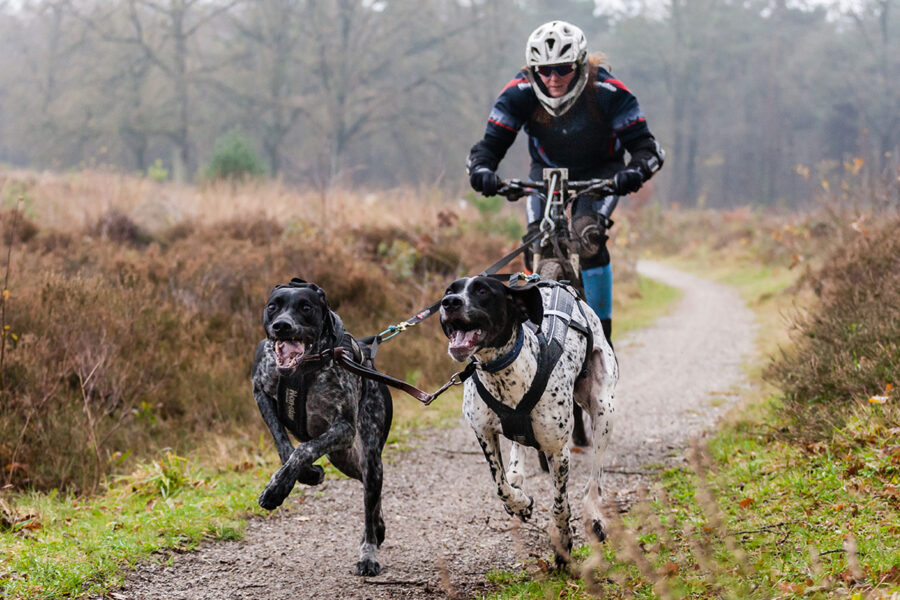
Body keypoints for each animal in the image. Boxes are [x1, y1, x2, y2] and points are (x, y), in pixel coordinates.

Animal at [253, 278, 394, 576]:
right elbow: (284, 445)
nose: (281, 325)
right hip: (344, 458)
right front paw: (302, 475)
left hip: (369, 455)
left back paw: (368, 553)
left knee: (370, 502)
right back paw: (379, 526)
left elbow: (303, 449)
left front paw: (276, 491)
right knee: (370, 493)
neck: (302, 370)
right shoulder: (260, 392)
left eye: (306, 307)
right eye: (273, 307)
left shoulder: (344, 428)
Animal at [442, 276, 620, 568]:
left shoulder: (558, 452)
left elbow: (560, 506)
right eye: (450, 290)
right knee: (517, 449)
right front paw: (519, 502)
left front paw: (563, 542)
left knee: (595, 475)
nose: (449, 303)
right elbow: (500, 486)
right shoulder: (483, 433)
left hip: (603, 408)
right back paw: (516, 473)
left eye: (482, 290)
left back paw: (594, 513)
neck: (504, 374)